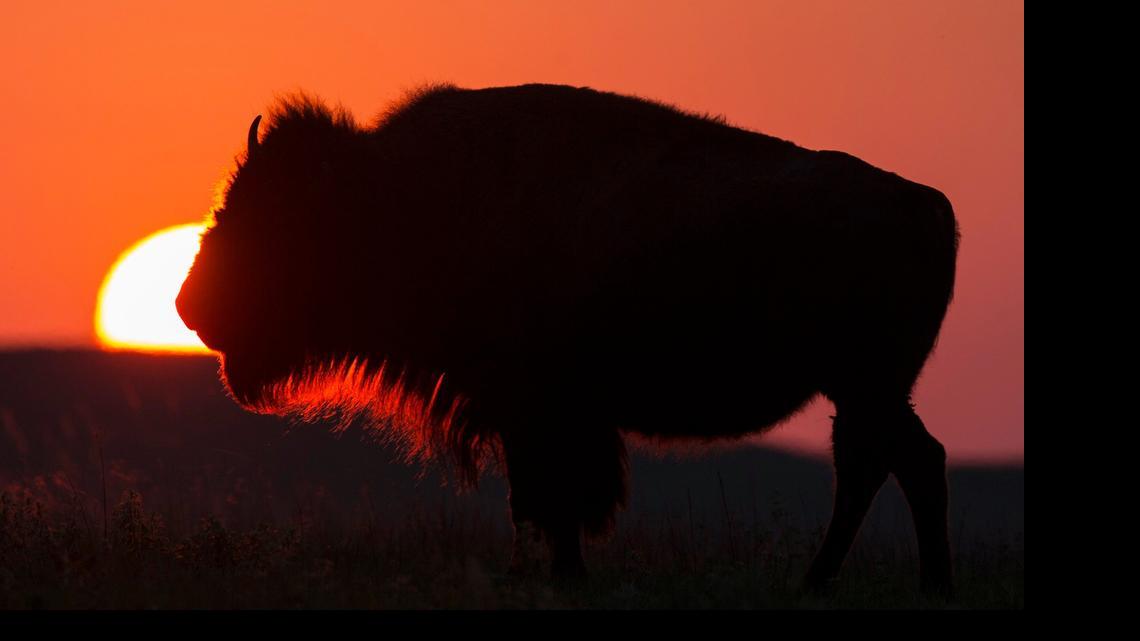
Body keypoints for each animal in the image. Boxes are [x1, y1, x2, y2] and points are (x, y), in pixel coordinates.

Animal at [176, 83, 959, 593]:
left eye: (270, 215)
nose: (188, 306)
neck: (393, 195)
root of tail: (928, 204)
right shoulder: (541, 415)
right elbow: (550, 497)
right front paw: (557, 572)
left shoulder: (534, 410)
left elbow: (545, 495)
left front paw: (547, 573)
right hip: (864, 391)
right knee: (879, 465)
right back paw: (834, 581)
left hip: (865, 385)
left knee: (903, 462)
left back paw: (905, 584)